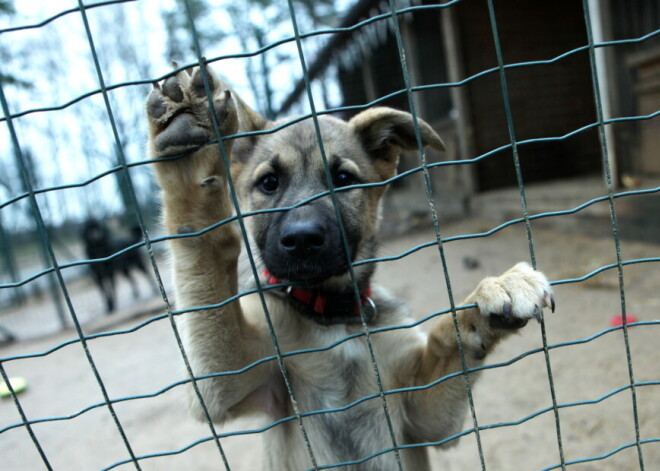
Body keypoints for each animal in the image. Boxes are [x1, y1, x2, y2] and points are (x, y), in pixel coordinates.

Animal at [146, 63, 552, 471]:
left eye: (343, 179)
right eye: (269, 183)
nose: (303, 239)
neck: (332, 315)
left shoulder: (424, 415)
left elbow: (446, 336)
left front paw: (493, 294)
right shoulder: (226, 382)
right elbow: (207, 248)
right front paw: (189, 152)